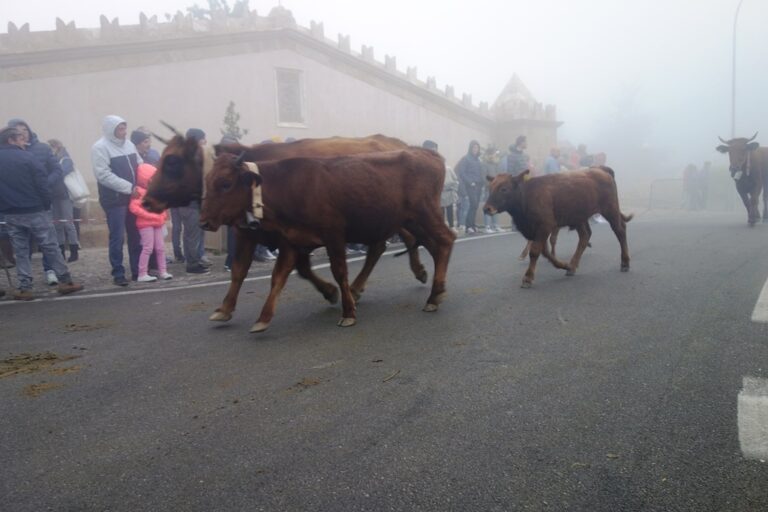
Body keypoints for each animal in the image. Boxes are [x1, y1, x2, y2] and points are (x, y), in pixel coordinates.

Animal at [201, 149, 460, 332]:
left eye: (225, 183)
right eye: (207, 180)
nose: (203, 221)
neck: (286, 185)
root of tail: (429, 154)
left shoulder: (333, 234)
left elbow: (338, 271)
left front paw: (348, 313)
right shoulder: (289, 242)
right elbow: (268, 275)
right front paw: (253, 316)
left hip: (425, 214)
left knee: (446, 239)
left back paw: (433, 295)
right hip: (410, 221)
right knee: (426, 246)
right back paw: (429, 286)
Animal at [484, 168, 632, 288]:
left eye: (504, 189)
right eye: (490, 188)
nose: (487, 208)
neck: (527, 195)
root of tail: (602, 170)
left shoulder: (544, 227)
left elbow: (535, 252)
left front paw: (527, 278)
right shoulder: (537, 231)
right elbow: (546, 253)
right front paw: (565, 265)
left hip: (610, 210)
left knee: (620, 230)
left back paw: (625, 263)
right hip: (579, 218)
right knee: (585, 236)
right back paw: (572, 266)